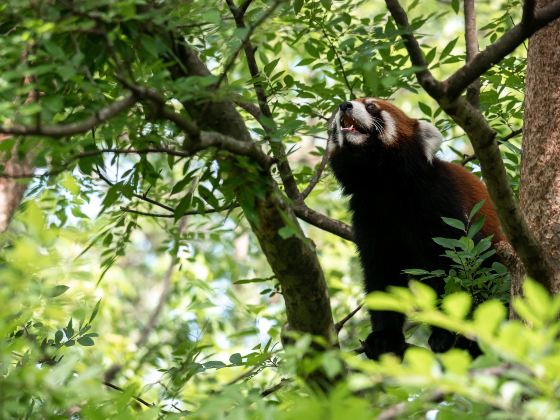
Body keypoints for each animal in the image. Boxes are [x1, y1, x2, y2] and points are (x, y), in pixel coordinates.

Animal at [326, 97, 506, 358]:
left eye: (371, 106)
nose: (344, 105)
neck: (383, 184)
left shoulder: (440, 202)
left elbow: (454, 270)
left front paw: (446, 334)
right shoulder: (368, 216)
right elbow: (382, 276)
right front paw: (384, 337)